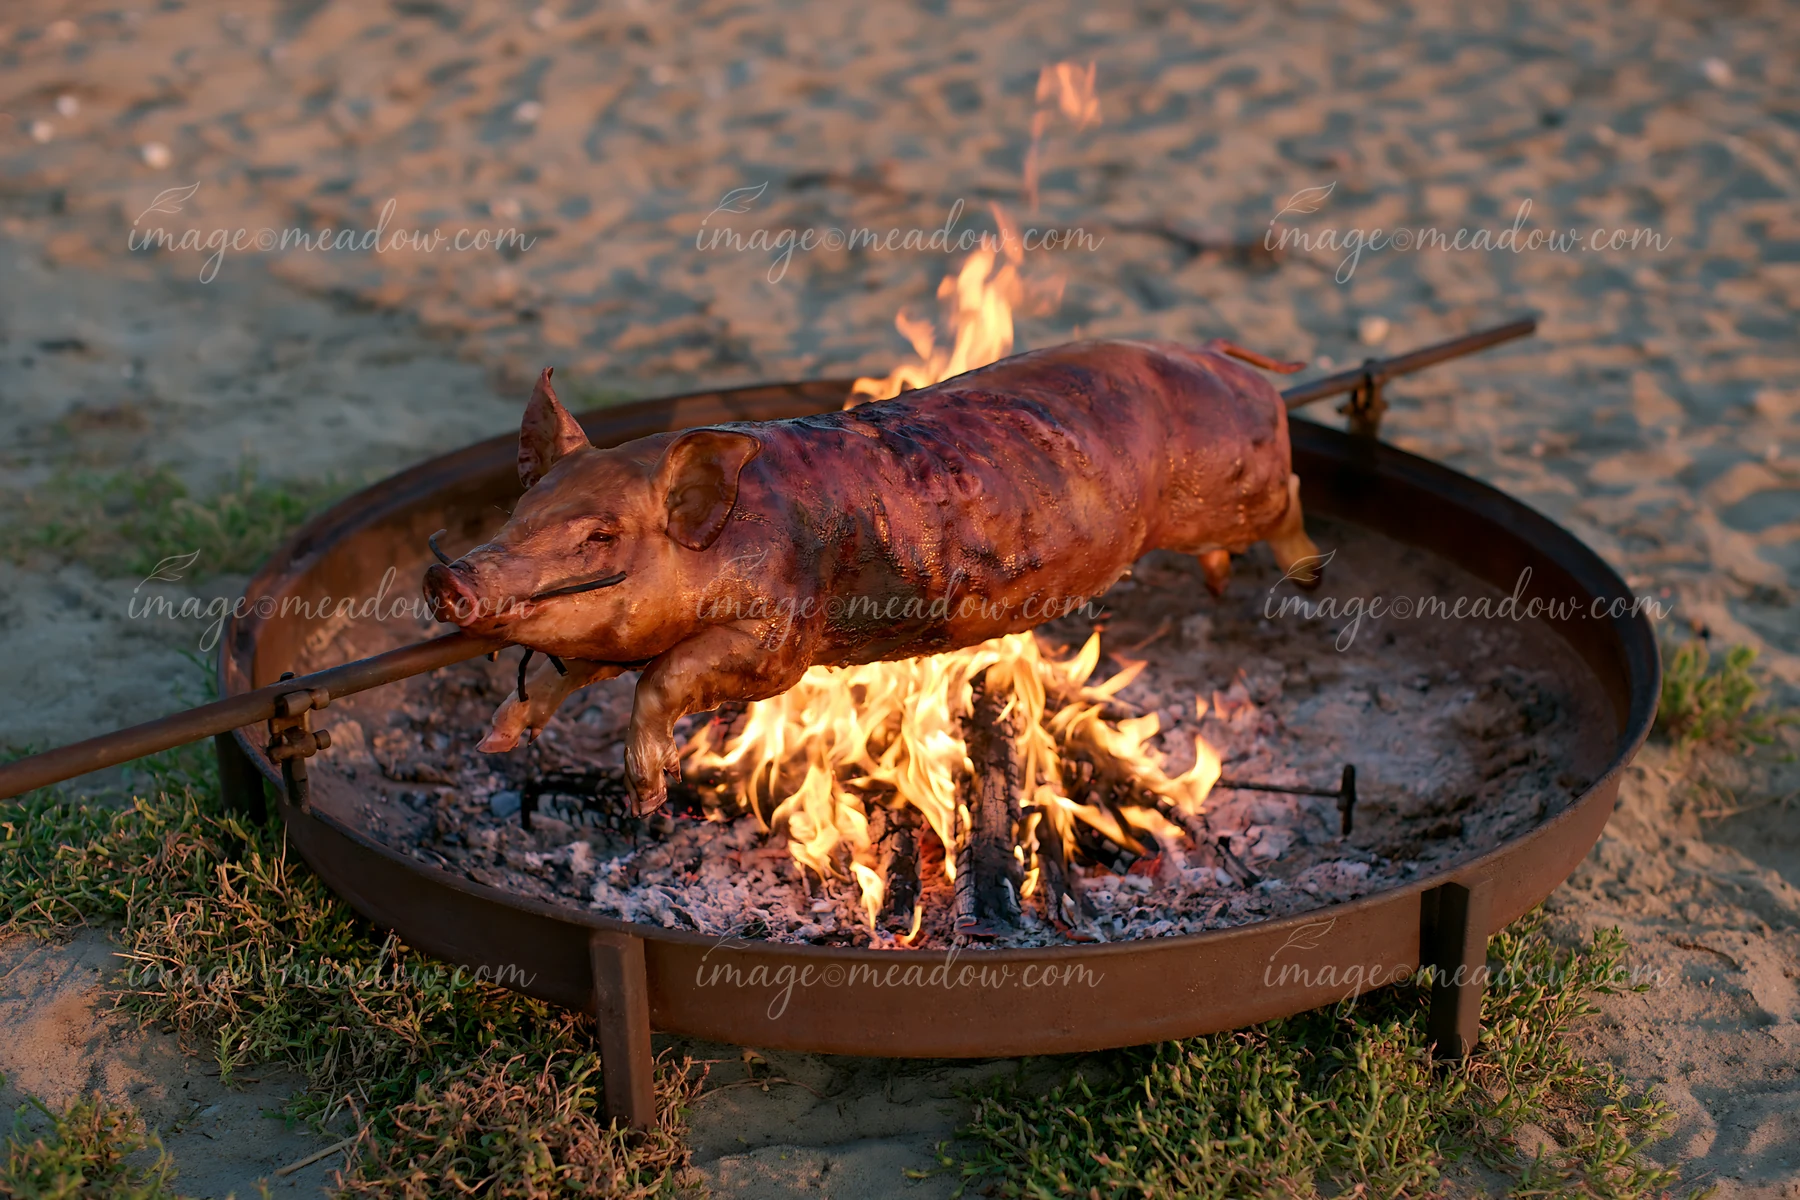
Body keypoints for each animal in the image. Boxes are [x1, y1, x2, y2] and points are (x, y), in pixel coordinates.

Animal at [423, 339, 1325, 814]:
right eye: (520, 509)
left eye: (601, 534)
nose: (450, 582)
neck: (734, 532)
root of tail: (1222, 357)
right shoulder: (609, 636)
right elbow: (564, 675)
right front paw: (495, 738)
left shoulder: (780, 639)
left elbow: (666, 680)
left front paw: (645, 801)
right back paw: (1222, 582)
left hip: (1232, 485)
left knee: (1291, 490)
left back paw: (1309, 576)